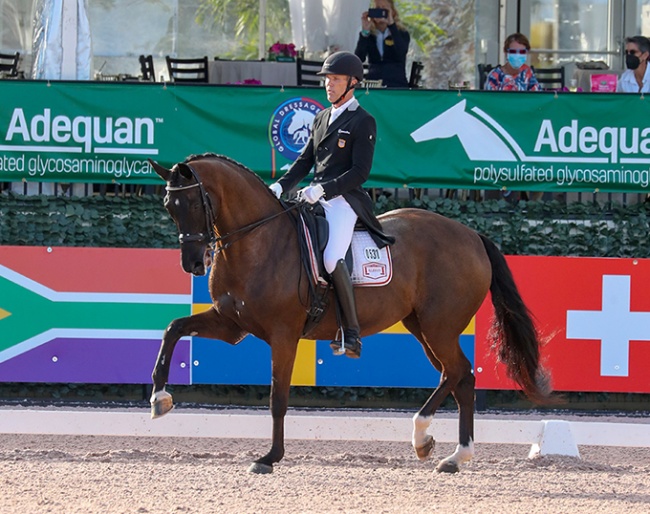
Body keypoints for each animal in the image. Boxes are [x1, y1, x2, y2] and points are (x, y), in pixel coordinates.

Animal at [147, 151, 548, 472]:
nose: (192, 263)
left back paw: (442, 446)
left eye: (194, 204)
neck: (257, 242)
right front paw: (159, 398)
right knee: (456, 376)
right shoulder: (231, 324)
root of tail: (472, 235)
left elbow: (278, 398)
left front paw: (269, 458)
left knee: (460, 372)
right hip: (422, 326)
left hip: (440, 327)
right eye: (169, 208)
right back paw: (440, 450)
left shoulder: (283, 335)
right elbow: (173, 328)